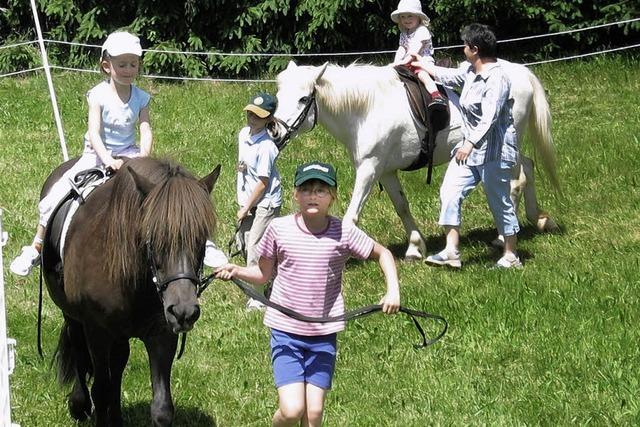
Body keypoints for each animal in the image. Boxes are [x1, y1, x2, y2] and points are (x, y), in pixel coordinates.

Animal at [40, 158, 220, 427]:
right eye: (154, 237)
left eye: (201, 238)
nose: (184, 311)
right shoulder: (97, 331)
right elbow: (101, 390)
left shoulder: (162, 334)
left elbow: (162, 407)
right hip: (72, 315)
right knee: (79, 348)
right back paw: (79, 403)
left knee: (118, 363)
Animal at [276, 61, 560, 260]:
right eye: (278, 98)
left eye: (303, 99)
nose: (275, 131)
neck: (365, 109)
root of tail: (520, 72)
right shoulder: (385, 171)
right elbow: (402, 206)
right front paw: (415, 246)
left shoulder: (369, 168)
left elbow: (351, 216)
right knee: (527, 167)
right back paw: (538, 218)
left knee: (514, 182)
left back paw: (504, 236)